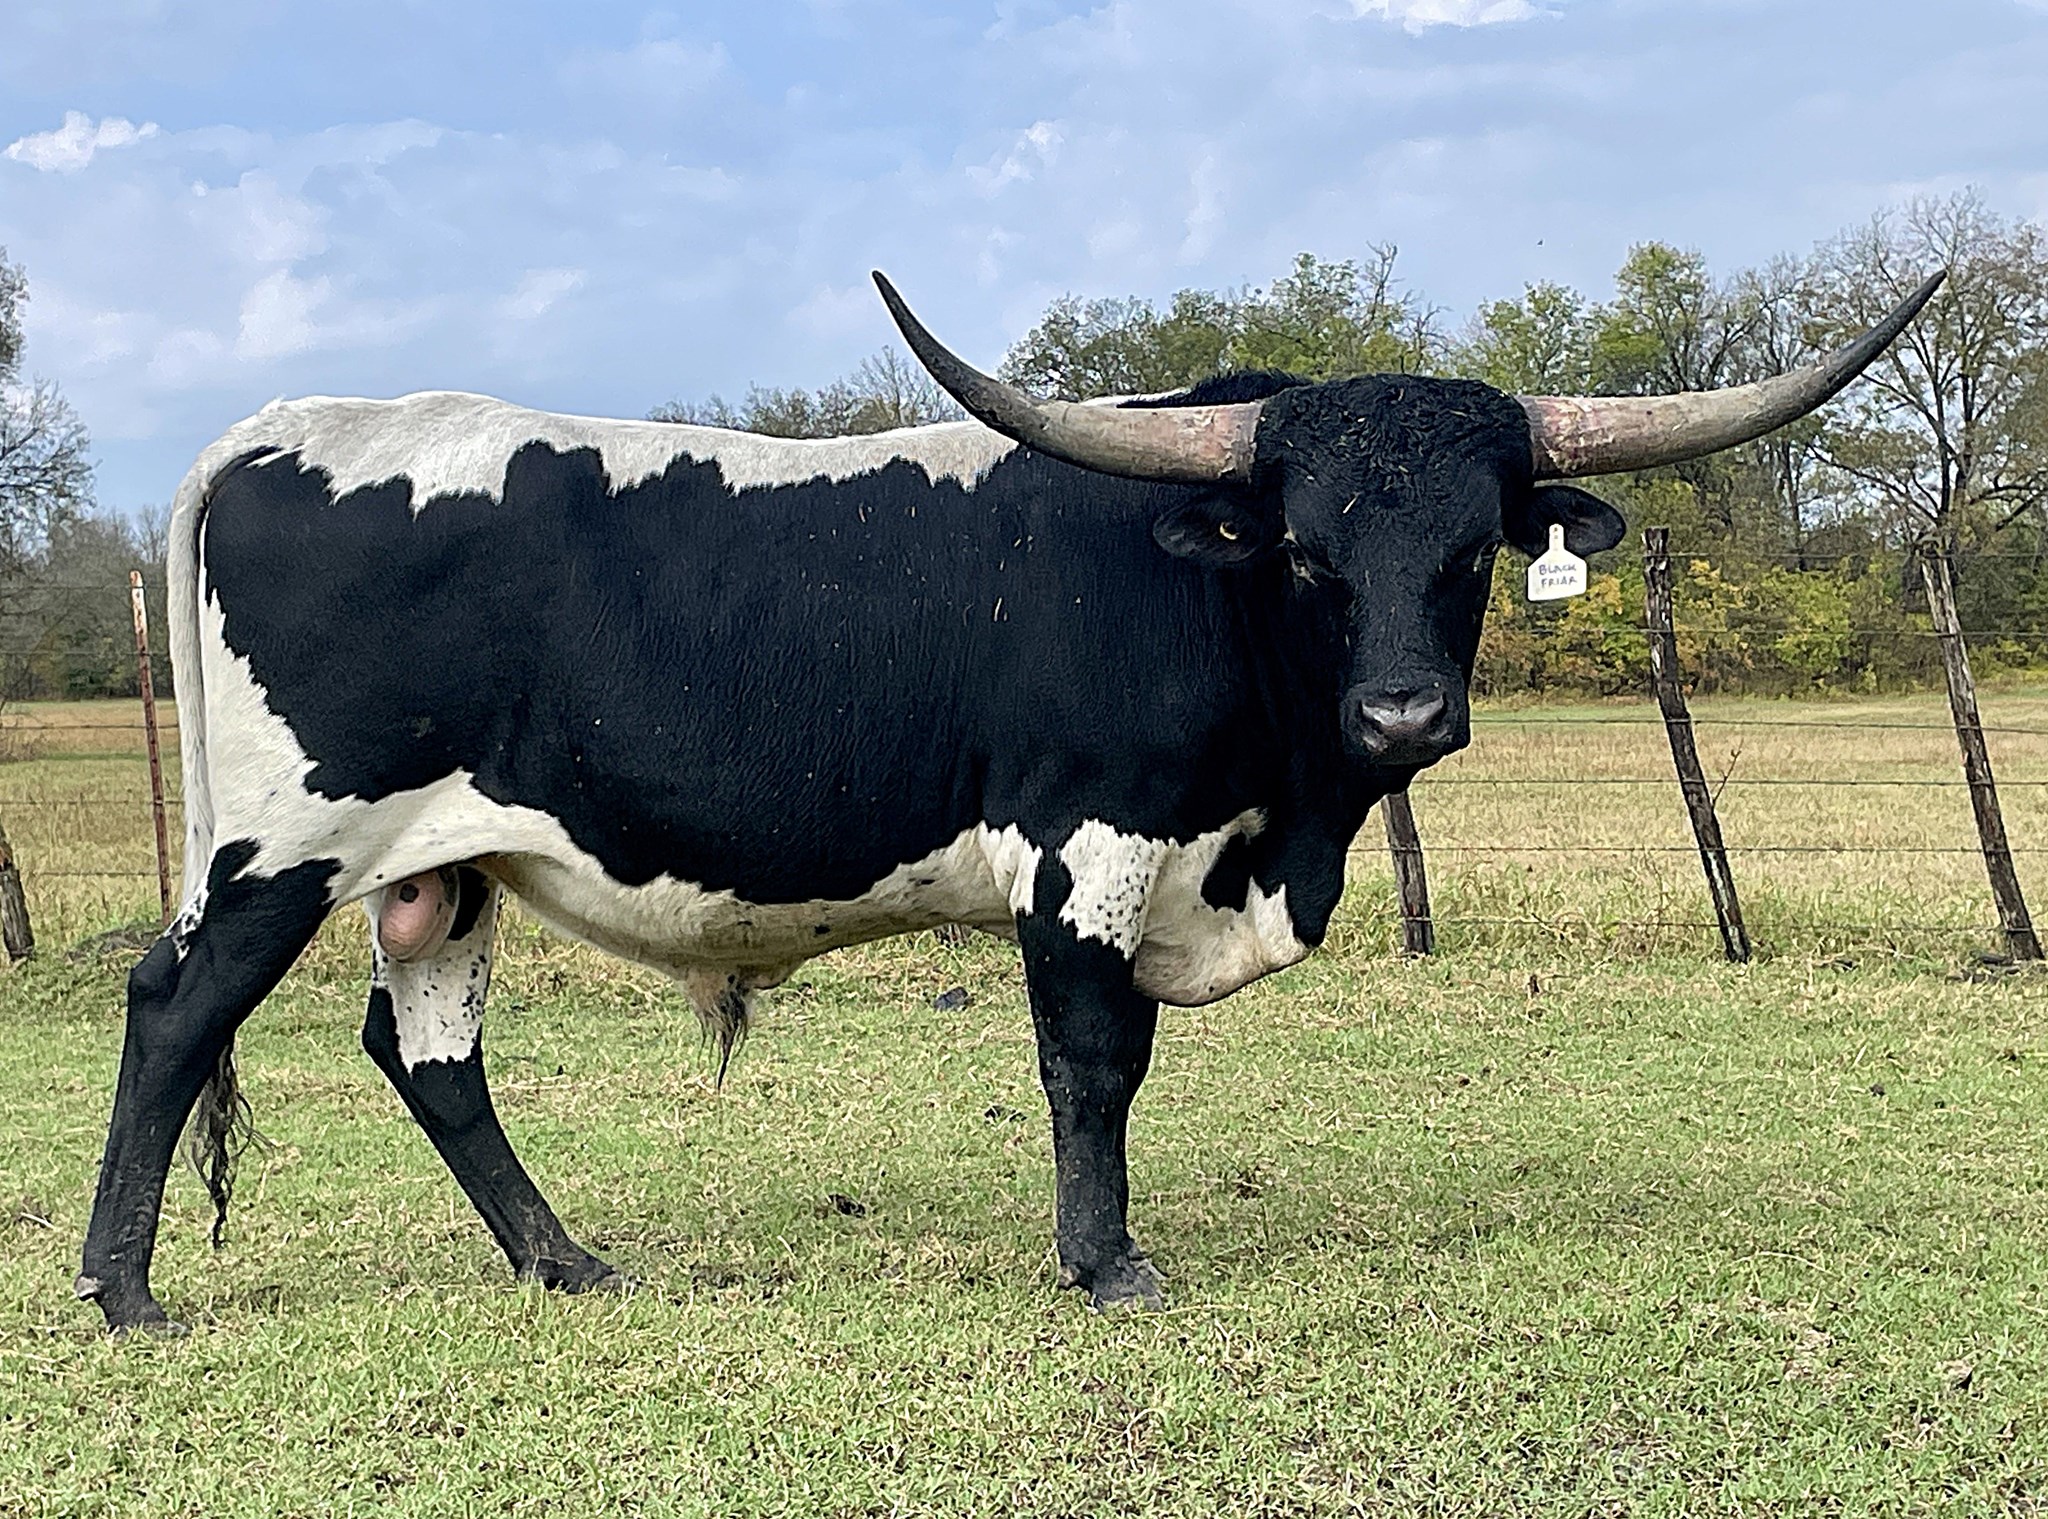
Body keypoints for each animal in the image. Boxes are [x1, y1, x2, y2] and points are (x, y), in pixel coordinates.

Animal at [76, 269, 1942, 1333]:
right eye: (1303, 545)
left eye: (1475, 545)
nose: (1405, 709)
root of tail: (280, 426)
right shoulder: (1091, 842)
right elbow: (1092, 1057)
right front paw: (1104, 1262)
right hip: (282, 842)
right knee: (175, 1008)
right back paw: (125, 1285)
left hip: (441, 863)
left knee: (431, 1053)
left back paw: (566, 1263)